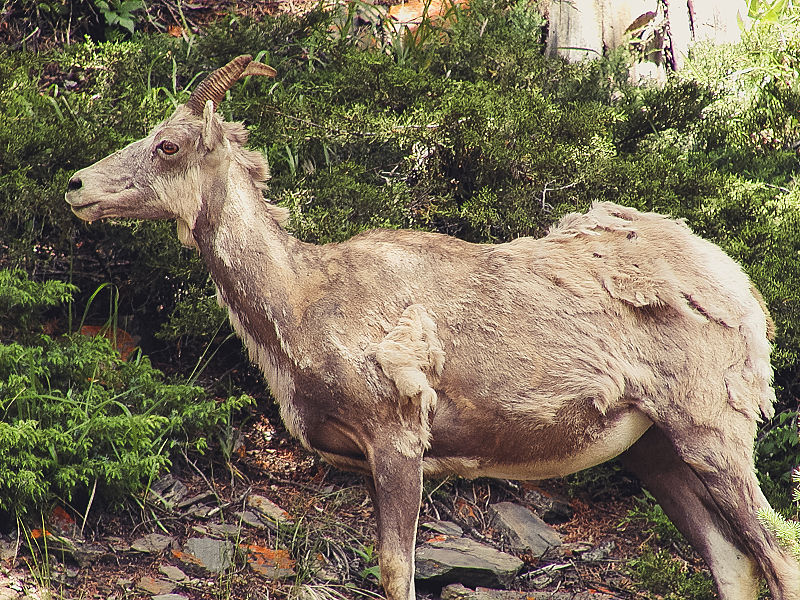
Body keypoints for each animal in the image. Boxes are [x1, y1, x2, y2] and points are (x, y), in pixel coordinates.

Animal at [65, 56, 800, 600]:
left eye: (168, 145)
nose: (75, 186)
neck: (302, 302)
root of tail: (739, 291)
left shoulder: (397, 437)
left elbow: (398, 572)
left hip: (712, 431)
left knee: (777, 552)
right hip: (654, 452)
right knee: (733, 562)